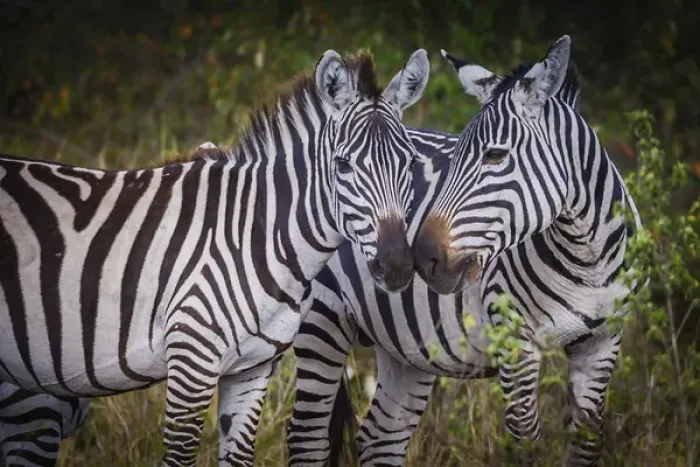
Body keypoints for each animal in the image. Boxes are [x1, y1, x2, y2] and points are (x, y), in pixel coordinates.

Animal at [0, 48, 431, 467]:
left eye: (410, 163)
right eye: (342, 165)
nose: (396, 266)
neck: (257, 235)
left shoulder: (252, 370)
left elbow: (239, 455)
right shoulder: (191, 361)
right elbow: (179, 456)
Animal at [413, 35, 641, 465]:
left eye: (495, 155)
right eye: (454, 158)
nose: (422, 258)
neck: (587, 258)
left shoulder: (603, 342)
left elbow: (587, 440)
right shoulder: (514, 340)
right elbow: (525, 442)